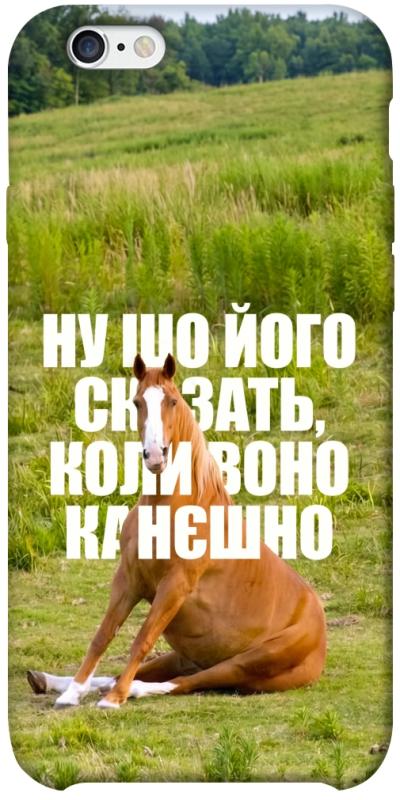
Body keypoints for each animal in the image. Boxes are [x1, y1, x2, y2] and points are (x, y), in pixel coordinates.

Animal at [27, 353, 326, 708]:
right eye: (137, 402)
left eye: (172, 401)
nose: (155, 456)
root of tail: (320, 634)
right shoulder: (128, 579)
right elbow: (103, 635)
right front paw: (72, 692)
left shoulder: (174, 586)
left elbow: (141, 640)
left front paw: (114, 699)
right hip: (186, 655)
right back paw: (50, 681)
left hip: (245, 663)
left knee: (189, 682)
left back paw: (128, 690)